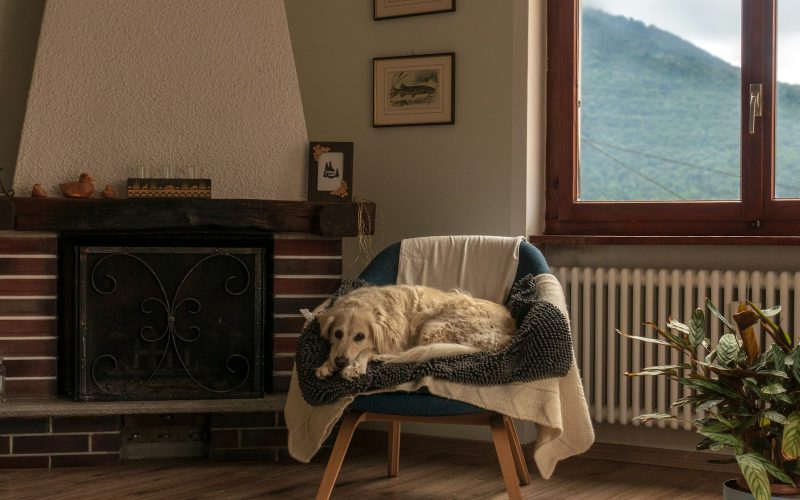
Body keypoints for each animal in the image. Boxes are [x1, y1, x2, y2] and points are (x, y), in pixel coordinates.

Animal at [316, 284, 516, 380]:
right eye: (337, 334)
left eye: (360, 336)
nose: (341, 362)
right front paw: (326, 365)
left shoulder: (392, 342)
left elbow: (367, 350)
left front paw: (354, 367)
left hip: (434, 323)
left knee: (412, 353)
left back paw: (382, 358)